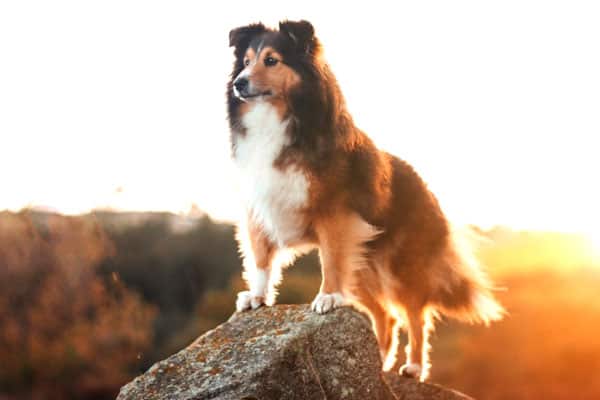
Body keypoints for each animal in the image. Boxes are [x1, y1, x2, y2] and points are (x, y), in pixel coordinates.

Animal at [225, 19, 502, 382]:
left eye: (272, 60)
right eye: (245, 61)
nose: (239, 84)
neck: (279, 118)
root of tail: (426, 187)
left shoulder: (333, 214)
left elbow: (329, 261)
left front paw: (327, 297)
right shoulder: (259, 208)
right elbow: (259, 259)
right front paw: (256, 297)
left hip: (399, 265)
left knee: (416, 314)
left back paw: (413, 367)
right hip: (361, 267)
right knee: (386, 316)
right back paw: (379, 366)